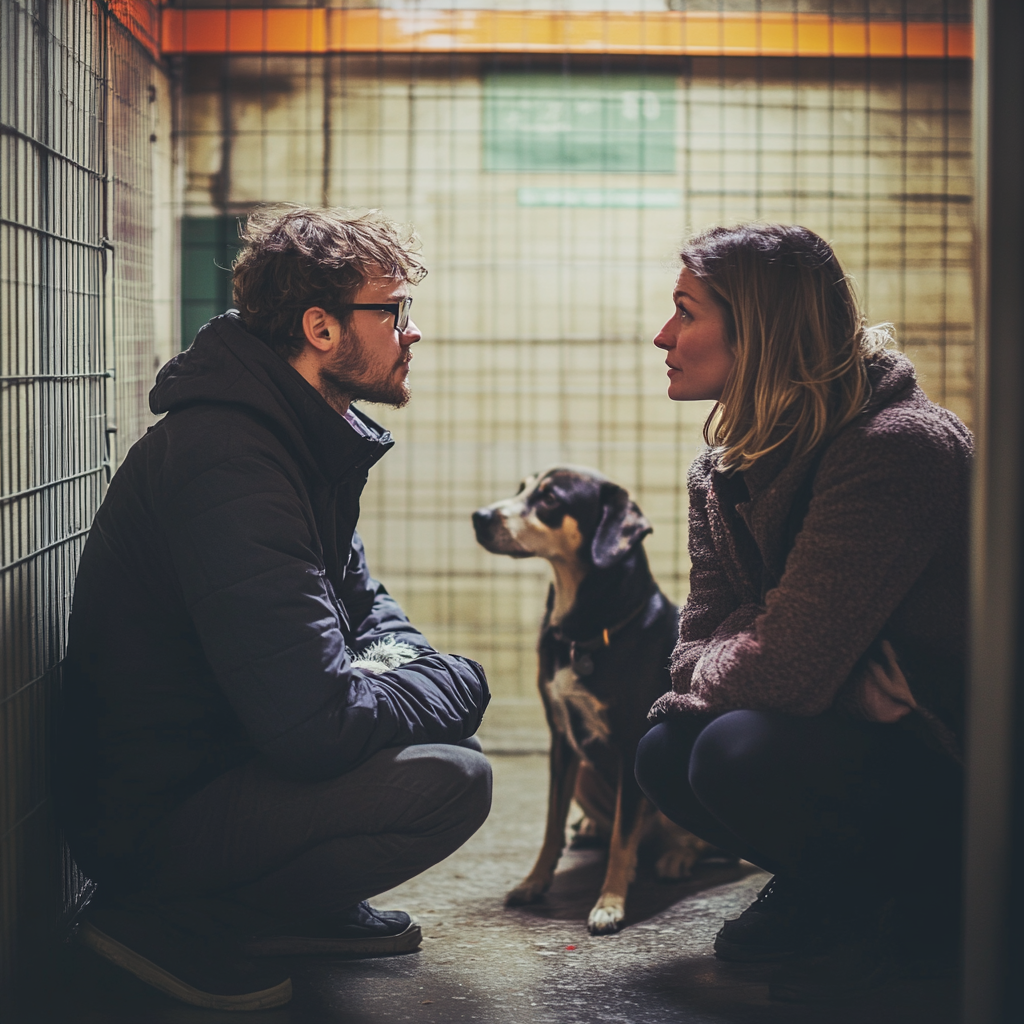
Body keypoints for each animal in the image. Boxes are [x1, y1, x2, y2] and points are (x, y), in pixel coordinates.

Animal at [473, 468, 708, 933]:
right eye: (521, 488)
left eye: (549, 498)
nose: (480, 516)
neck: (584, 630)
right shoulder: (562, 740)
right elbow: (551, 823)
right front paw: (534, 881)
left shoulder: (632, 742)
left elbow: (622, 836)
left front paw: (610, 903)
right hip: (584, 768)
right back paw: (591, 830)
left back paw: (676, 856)